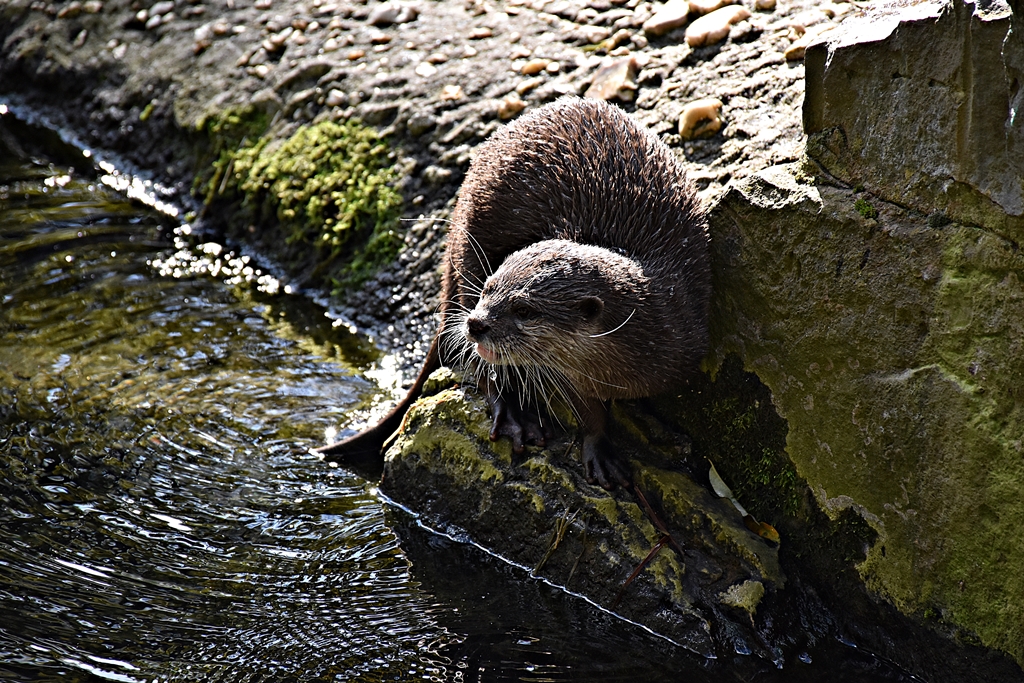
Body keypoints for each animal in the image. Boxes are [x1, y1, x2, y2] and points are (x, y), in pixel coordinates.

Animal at [316, 96, 711, 490]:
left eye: (524, 310)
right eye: (489, 289)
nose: (476, 323)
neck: (654, 329)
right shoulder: (572, 374)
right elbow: (588, 410)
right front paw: (599, 450)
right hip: (470, 241)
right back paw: (513, 416)